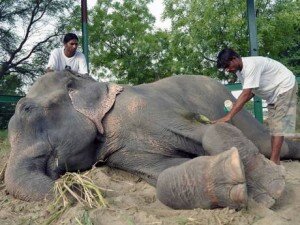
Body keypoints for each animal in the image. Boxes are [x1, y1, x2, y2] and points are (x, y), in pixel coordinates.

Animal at [3, 70, 298, 209]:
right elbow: (163, 173)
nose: (74, 188)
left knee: (268, 141)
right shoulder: (120, 152)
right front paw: (234, 179)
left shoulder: (146, 108)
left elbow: (207, 129)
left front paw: (269, 192)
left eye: (27, 109)